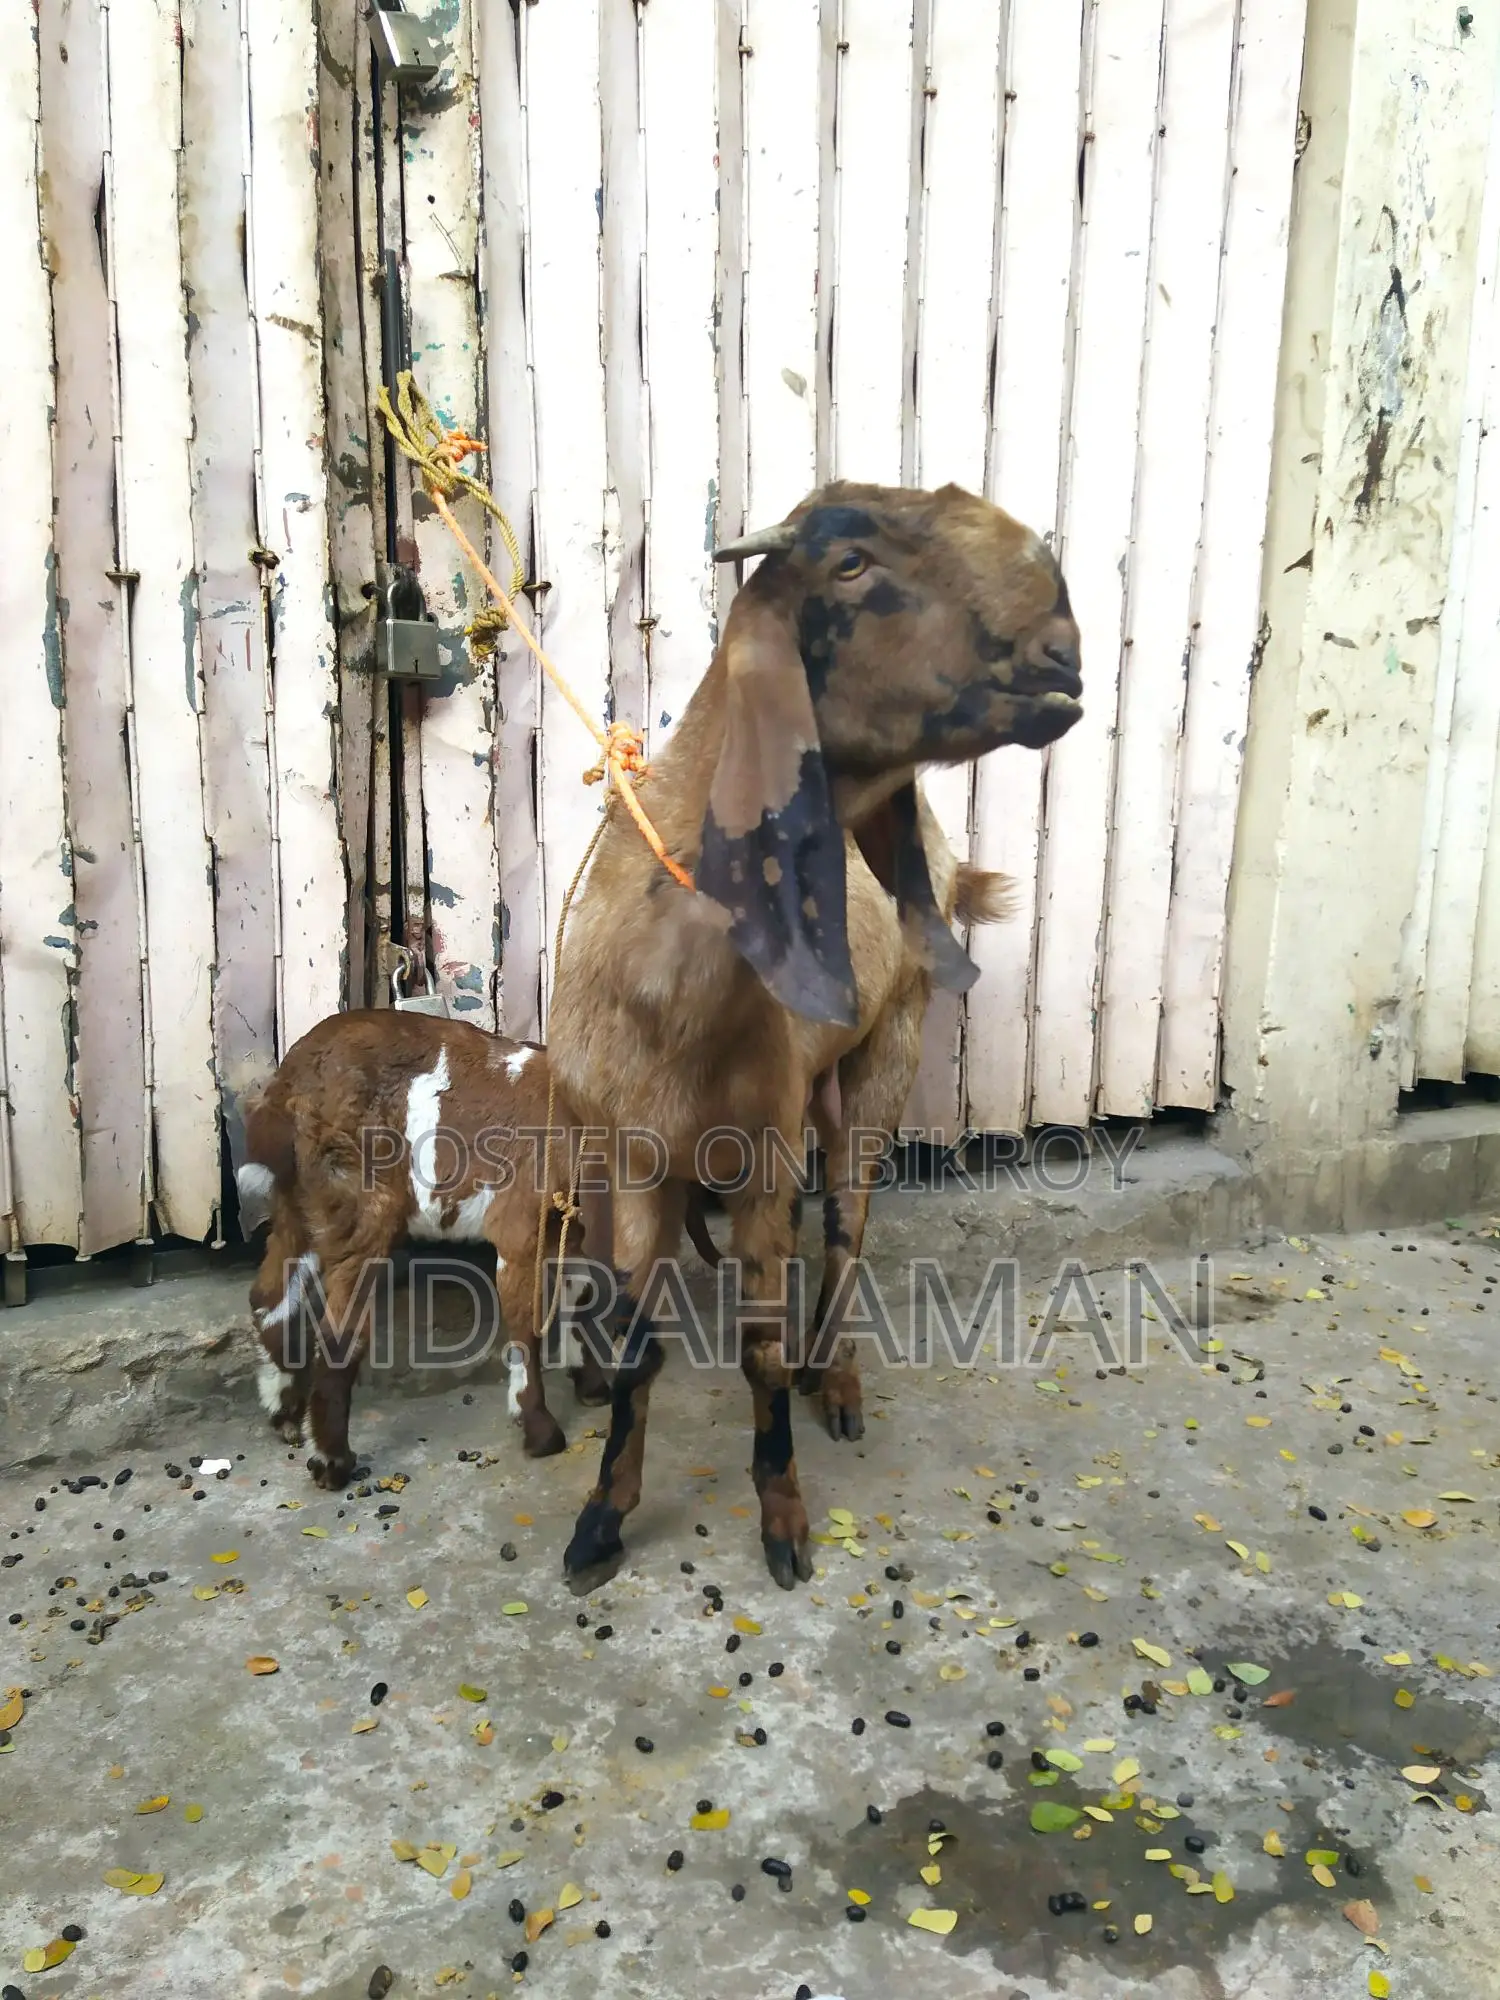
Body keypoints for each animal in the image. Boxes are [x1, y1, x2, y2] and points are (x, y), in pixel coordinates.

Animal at [237, 1010, 594, 1487]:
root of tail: (287, 1084)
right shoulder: (521, 1226)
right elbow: (528, 1323)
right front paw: (540, 1430)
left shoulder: (566, 1227)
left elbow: (580, 1292)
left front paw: (591, 1384)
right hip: (360, 1197)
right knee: (337, 1332)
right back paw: (331, 1461)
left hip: (298, 1199)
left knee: (271, 1296)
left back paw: (285, 1414)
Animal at [546, 479, 1082, 1588]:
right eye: (849, 564)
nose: (1063, 653)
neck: (672, 991)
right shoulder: (635, 1156)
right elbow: (635, 1345)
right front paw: (602, 1520)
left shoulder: (759, 1150)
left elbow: (754, 1349)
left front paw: (783, 1515)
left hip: (885, 1057)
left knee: (846, 1229)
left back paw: (832, 1380)